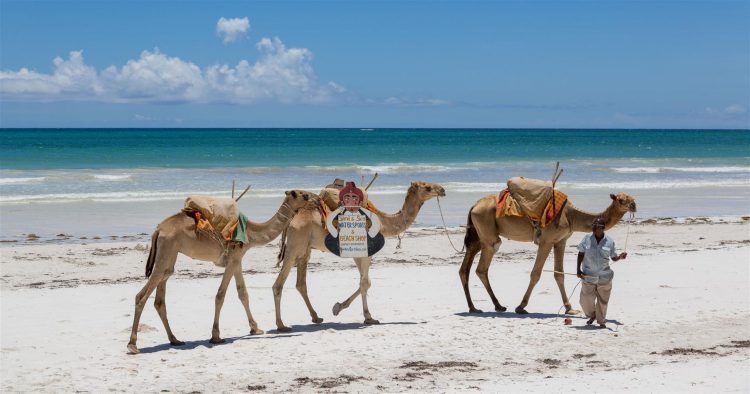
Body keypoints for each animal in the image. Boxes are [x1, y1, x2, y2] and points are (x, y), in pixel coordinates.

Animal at [128, 191, 316, 354]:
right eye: (304, 195)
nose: (315, 199)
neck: (251, 232)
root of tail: (158, 230)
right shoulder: (233, 258)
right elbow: (221, 295)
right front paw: (216, 336)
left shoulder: (237, 259)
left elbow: (243, 293)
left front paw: (255, 328)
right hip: (165, 251)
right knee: (142, 296)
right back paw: (133, 345)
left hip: (170, 255)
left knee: (161, 294)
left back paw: (175, 340)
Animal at [274, 180, 446, 330]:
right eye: (428, 187)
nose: (443, 190)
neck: (382, 222)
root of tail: (291, 219)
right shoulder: (365, 252)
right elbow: (365, 283)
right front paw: (368, 317)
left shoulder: (359, 253)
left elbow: (365, 282)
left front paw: (338, 307)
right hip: (295, 246)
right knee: (279, 284)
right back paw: (281, 326)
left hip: (305, 249)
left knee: (301, 284)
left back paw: (316, 317)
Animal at [462, 192, 636, 316]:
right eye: (621, 200)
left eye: (630, 197)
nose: (634, 205)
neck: (571, 215)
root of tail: (474, 206)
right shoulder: (546, 241)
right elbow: (536, 273)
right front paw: (521, 306)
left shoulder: (560, 241)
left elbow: (559, 274)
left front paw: (569, 308)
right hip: (488, 233)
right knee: (482, 268)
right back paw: (497, 306)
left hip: (478, 236)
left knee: (465, 268)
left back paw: (475, 307)